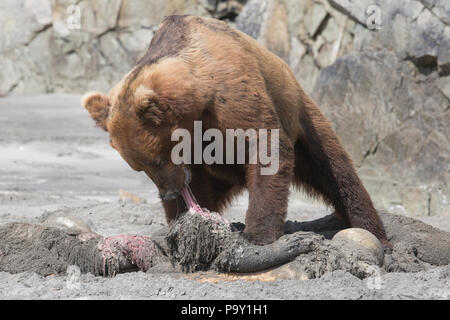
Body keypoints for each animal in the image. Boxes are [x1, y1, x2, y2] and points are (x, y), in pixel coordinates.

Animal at [82, 14, 388, 245]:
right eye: (138, 167)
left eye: (156, 159)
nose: (168, 193)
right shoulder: (196, 150)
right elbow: (195, 185)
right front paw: (180, 222)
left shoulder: (232, 96)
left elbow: (266, 145)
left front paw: (257, 234)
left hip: (302, 115)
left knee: (337, 171)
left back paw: (373, 229)